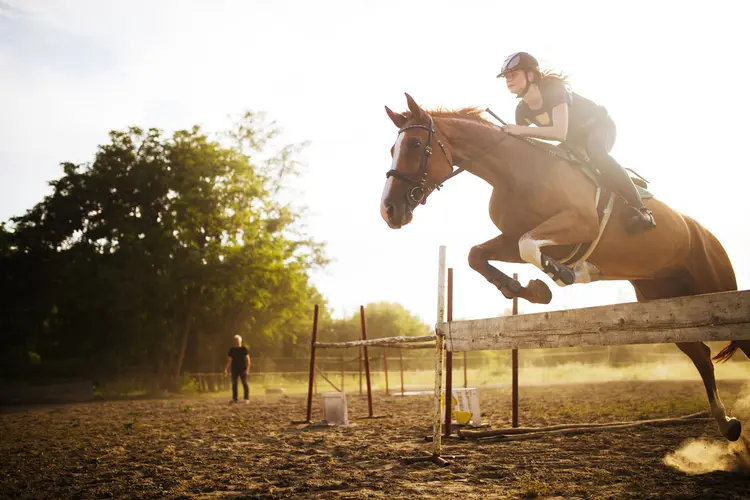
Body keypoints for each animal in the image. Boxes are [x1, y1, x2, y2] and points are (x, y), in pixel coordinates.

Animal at [382, 93, 750, 442]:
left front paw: (566, 274)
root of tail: (703, 232)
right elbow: (480, 254)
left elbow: (529, 246)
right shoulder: (517, 238)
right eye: (392, 148)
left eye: (415, 145)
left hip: (716, 288)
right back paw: (727, 423)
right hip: (661, 300)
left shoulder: (578, 224)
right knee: (700, 354)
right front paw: (526, 289)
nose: (389, 210)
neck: (513, 172)